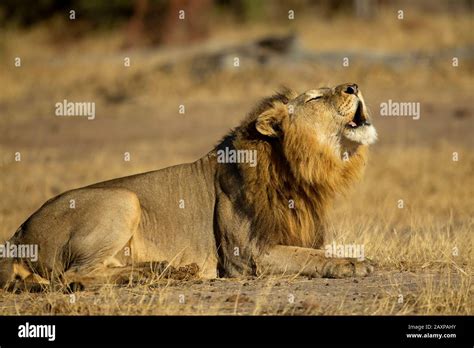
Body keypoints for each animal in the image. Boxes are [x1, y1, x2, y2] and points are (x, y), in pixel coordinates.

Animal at [0, 82, 378, 290]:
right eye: (315, 98)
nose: (354, 86)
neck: (297, 168)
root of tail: (17, 235)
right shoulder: (247, 256)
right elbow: (310, 257)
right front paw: (353, 264)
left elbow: (315, 249)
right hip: (124, 199)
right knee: (74, 275)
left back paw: (170, 270)